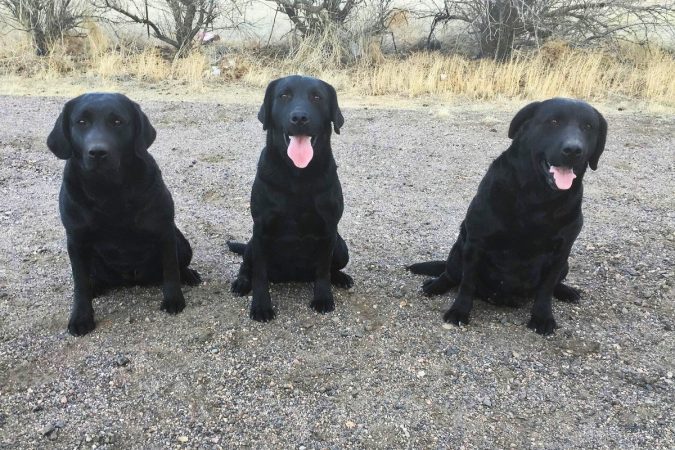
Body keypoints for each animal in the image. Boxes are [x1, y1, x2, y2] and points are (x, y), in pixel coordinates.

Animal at [47, 93, 201, 336]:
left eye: (117, 122)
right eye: (81, 122)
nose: (97, 152)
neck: (109, 191)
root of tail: (131, 280)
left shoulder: (164, 231)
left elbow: (170, 270)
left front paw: (173, 299)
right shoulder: (76, 240)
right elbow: (79, 284)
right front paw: (81, 316)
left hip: (181, 242)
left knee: (177, 265)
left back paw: (188, 274)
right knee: (90, 279)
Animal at [227, 75, 354, 322]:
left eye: (317, 97)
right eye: (284, 95)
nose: (300, 118)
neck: (298, 176)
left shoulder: (329, 230)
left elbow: (323, 270)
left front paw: (323, 298)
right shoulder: (261, 229)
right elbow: (260, 275)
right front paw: (261, 306)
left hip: (341, 248)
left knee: (333, 267)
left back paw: (340, 278)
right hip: (251, 245)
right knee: (246, 267)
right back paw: (241, 282)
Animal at [410, 99, 608, 338]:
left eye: (588, 127)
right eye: (553, 122)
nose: (573, 150)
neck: (538, 199)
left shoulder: (562, 251)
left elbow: (546, 288)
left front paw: (542, 317)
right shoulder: (475, 243)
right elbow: (467, 283)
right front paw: (459, 311)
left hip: (565, 265)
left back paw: (566, 291)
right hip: (458, 250)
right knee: (451, 274)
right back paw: (435, 285)